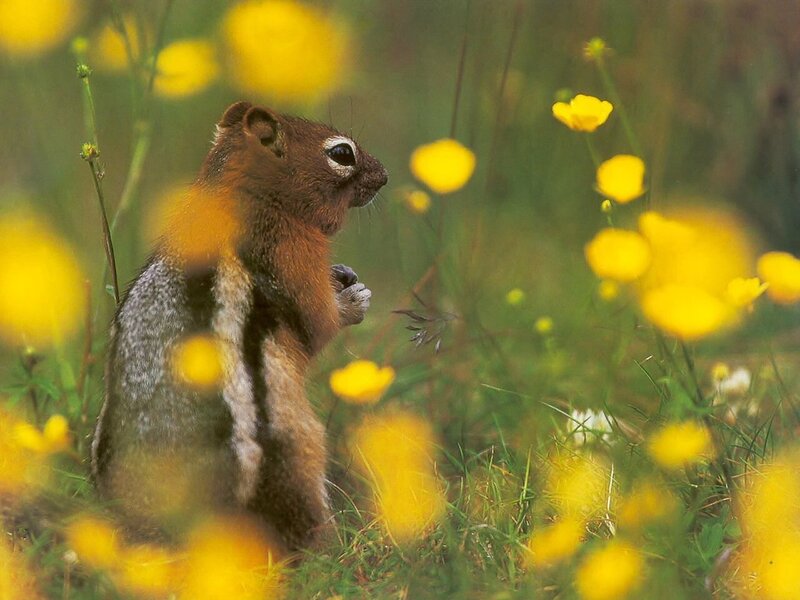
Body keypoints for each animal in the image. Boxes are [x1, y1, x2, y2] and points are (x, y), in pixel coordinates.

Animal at [91, 101, 388, 552]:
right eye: (342, 154)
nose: (384, 175)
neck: (234, 195)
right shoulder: (292, 261)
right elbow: (318, 322)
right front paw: (353, 299)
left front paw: (344, 275)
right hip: (298, 445)